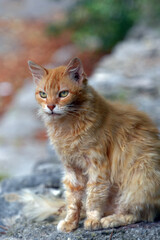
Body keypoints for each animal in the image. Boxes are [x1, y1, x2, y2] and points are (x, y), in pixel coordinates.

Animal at [28, 57, 160, 232]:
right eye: (43, 94)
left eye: (63, 94)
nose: (50, 106)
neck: (66, 127)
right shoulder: (72, 169)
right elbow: (73, 201)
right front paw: (71, 223)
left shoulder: (98, 166)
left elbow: (93, 197)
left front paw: (92, 221)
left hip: (140, 178)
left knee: (137, 214)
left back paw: (109, 220)